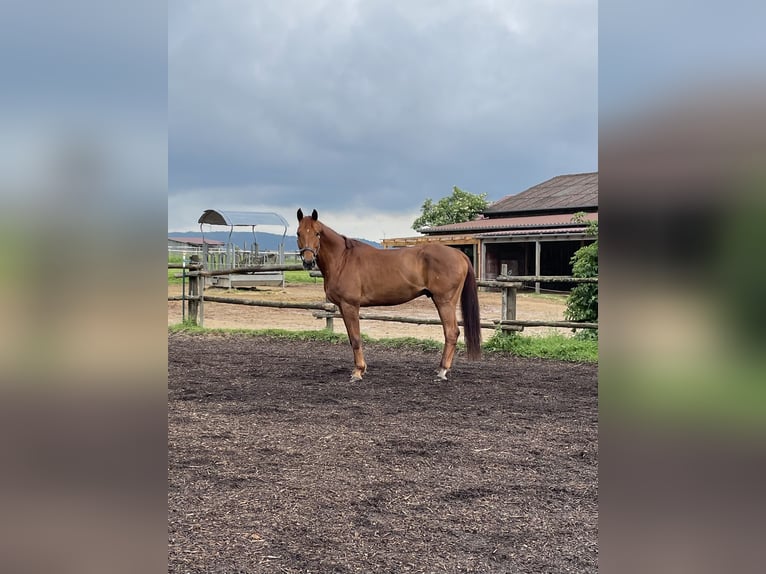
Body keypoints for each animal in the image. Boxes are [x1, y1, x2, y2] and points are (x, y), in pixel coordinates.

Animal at [296, 208, 482, 381]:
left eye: (317, 233)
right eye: (298, 233)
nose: (308, 261)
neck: (343, 259)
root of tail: (459, 254)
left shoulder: (350, 305)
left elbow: (356, 338)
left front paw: (358, 372)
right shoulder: (343, 307)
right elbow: (351, 338)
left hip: (444, 301)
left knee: (451, 332)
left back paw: (442, 370)